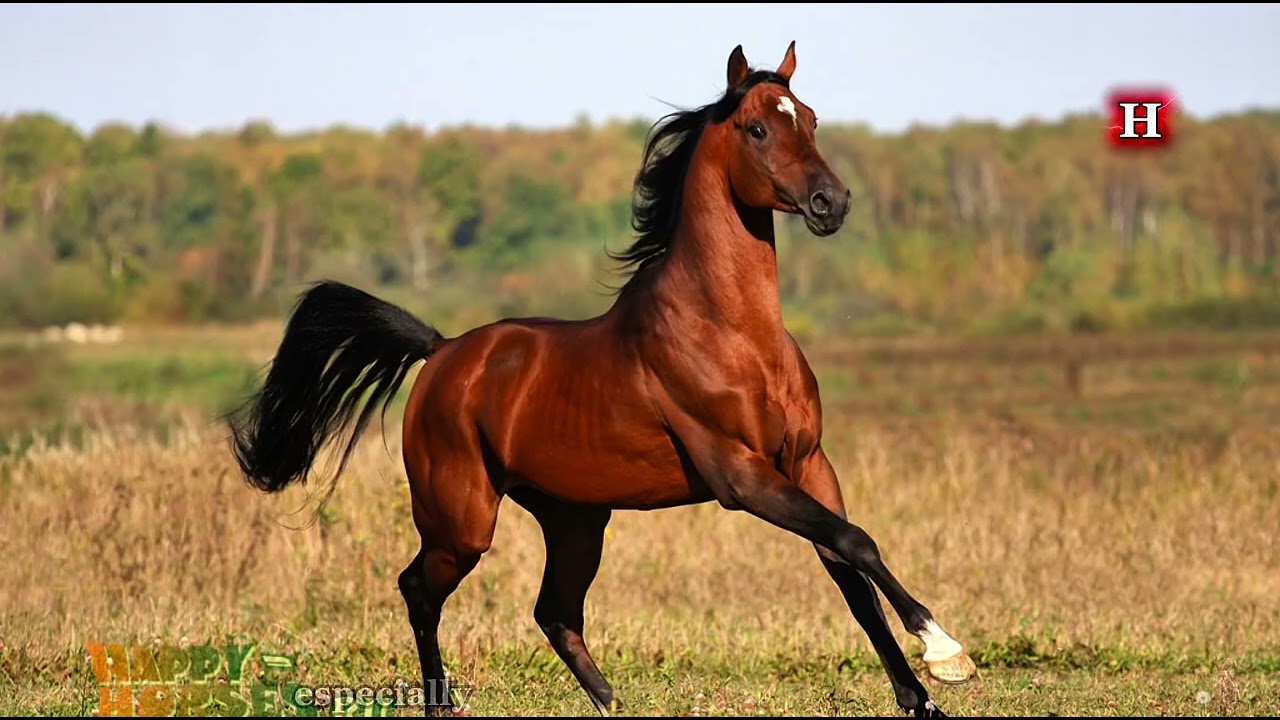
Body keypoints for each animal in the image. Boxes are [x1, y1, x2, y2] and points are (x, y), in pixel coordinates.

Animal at [227, 42, 976, 717]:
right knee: (420, 590)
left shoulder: (810, 463)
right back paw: (443, 705)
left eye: (812, 119)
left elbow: (850, 569)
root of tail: (442, 353)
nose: (831, 202)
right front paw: (947, 653)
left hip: (575, 519)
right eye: (759, 127)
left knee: (554, 611)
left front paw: (921, 695)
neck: (732, 335)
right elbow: (856, 543)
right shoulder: (741, 476)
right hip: (461, 522)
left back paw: (612, 702)